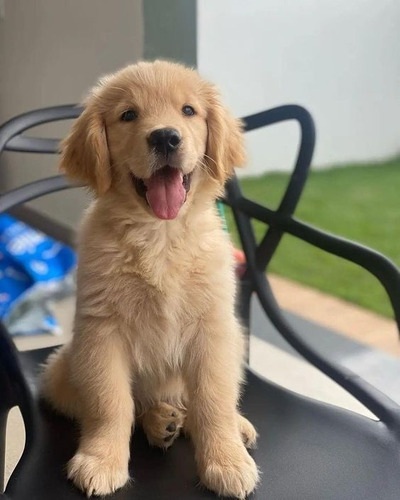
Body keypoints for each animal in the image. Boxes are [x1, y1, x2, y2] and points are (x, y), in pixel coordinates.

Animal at [40, 61, 260, 500]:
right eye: (128, 115)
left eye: (188, 111)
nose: (165, 136)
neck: (161, 236)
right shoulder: (101, 332)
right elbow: (110, 403)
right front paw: (101, 461)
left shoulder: (213, 330)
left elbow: (213, 400)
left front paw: (226, 461)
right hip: (60, 371)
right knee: (134, 405)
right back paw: (160, 421)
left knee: (203, 401)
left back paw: (222, 424)